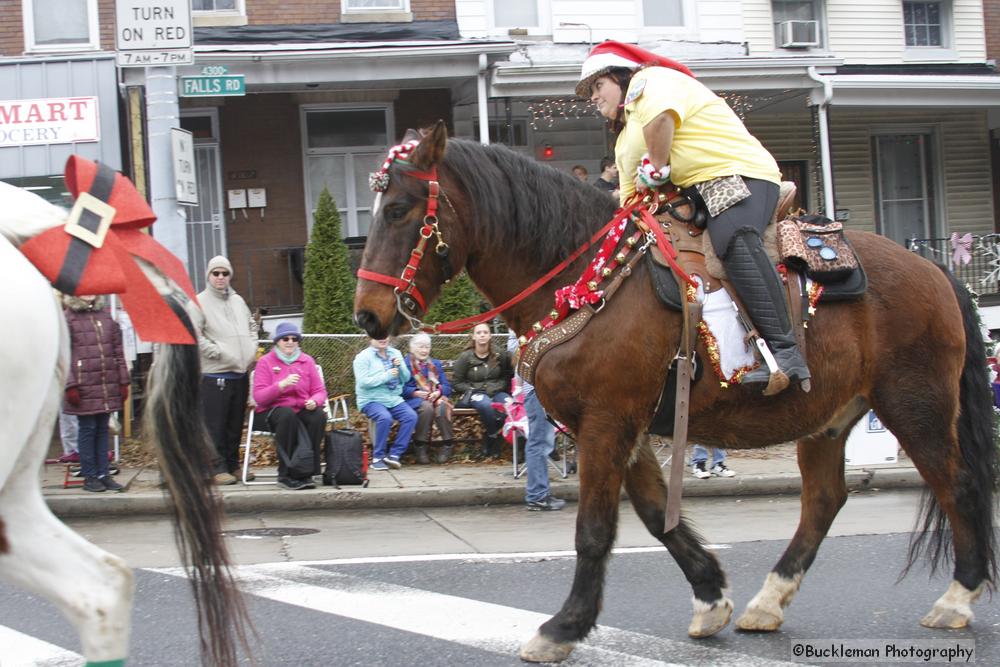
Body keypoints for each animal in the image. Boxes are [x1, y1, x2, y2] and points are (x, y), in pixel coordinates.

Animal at [356, 124, 996, 664]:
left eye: (399, 210)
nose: (367, 315)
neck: (589, 278)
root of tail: (935, 270)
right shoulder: (622, 425)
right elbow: (652, 513)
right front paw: (711, 596)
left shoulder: (607, 422)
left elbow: (595, 530)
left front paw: (564, 627)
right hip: (831, 419)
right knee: (823, 501)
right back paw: (769, 601)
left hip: (916, 407)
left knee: (958, 485)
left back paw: (957, 598)